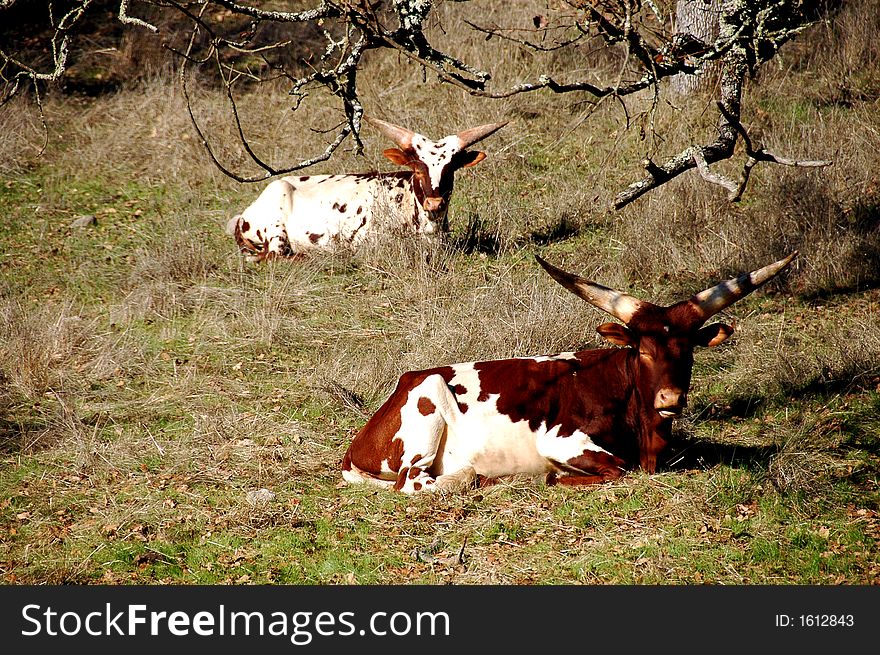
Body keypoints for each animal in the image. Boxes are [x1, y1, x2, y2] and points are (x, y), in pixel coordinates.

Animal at [227, 118, 508, 262]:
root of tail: (244, 214)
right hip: (275, 228)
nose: (434, 204)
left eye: (450, 170)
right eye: (417, 169)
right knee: (275, 256)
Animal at [338, 251, 796, 492]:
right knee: (418, 481)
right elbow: (617, 467)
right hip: (429, 401)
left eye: (687, 352)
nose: (670, 399)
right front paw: (557, 478)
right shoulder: (560, 440)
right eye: (643, 351)